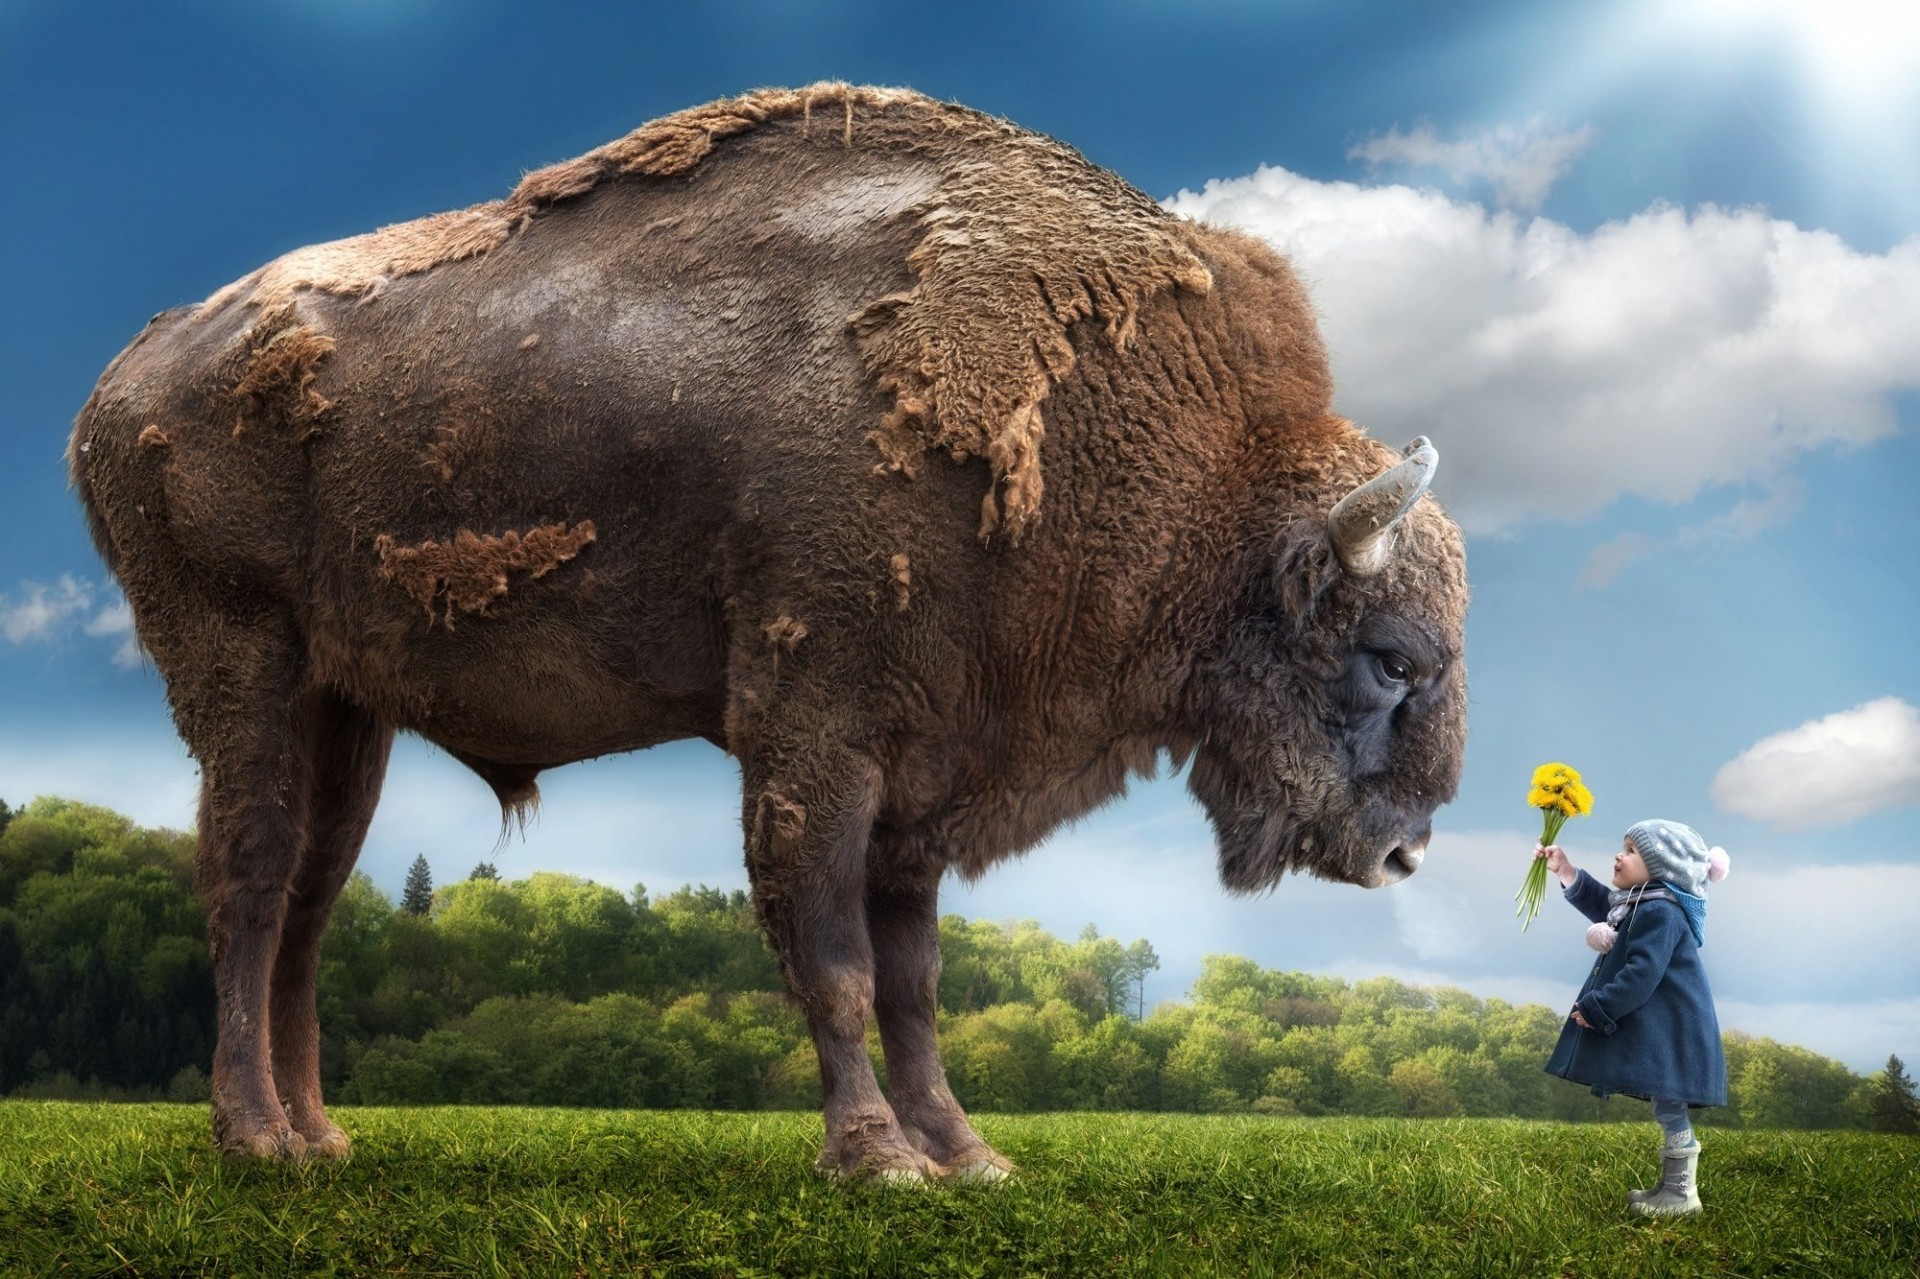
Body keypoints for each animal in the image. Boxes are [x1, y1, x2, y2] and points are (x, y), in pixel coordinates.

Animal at [70, 84, 1467, 1181]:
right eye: (1391, 657)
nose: (1407, 853)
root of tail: (123, 385)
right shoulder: (817, 739)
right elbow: (833, 957)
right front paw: (877, 1159)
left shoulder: (923, 772)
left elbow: (914, 980)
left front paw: (967, 1155)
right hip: (243, 667)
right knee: (248, 880)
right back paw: (254, 1138)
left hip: (345, 704)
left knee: (311, 900)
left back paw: (321, 1137)